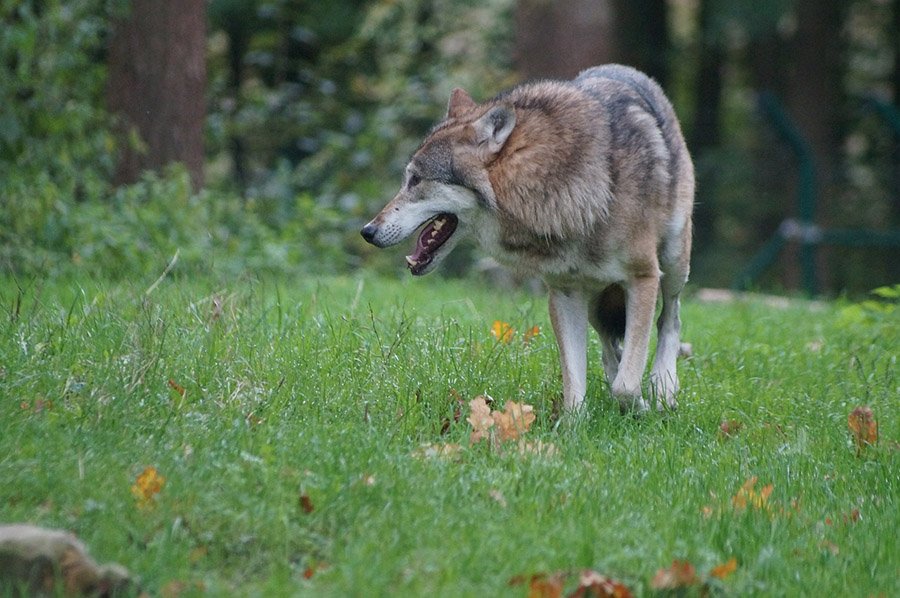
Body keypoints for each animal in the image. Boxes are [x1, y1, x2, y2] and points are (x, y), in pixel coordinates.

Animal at [361, 65, 694, 413]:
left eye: (415, 180)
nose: (367, 231)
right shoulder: (564, 293)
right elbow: (575, 387)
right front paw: (576, 425)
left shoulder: (643, 278)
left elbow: (626, 386)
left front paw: (642, 407)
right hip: (595, 298)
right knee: (609, 345)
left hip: (672, 264)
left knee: (670, 320)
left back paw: (664, 387)